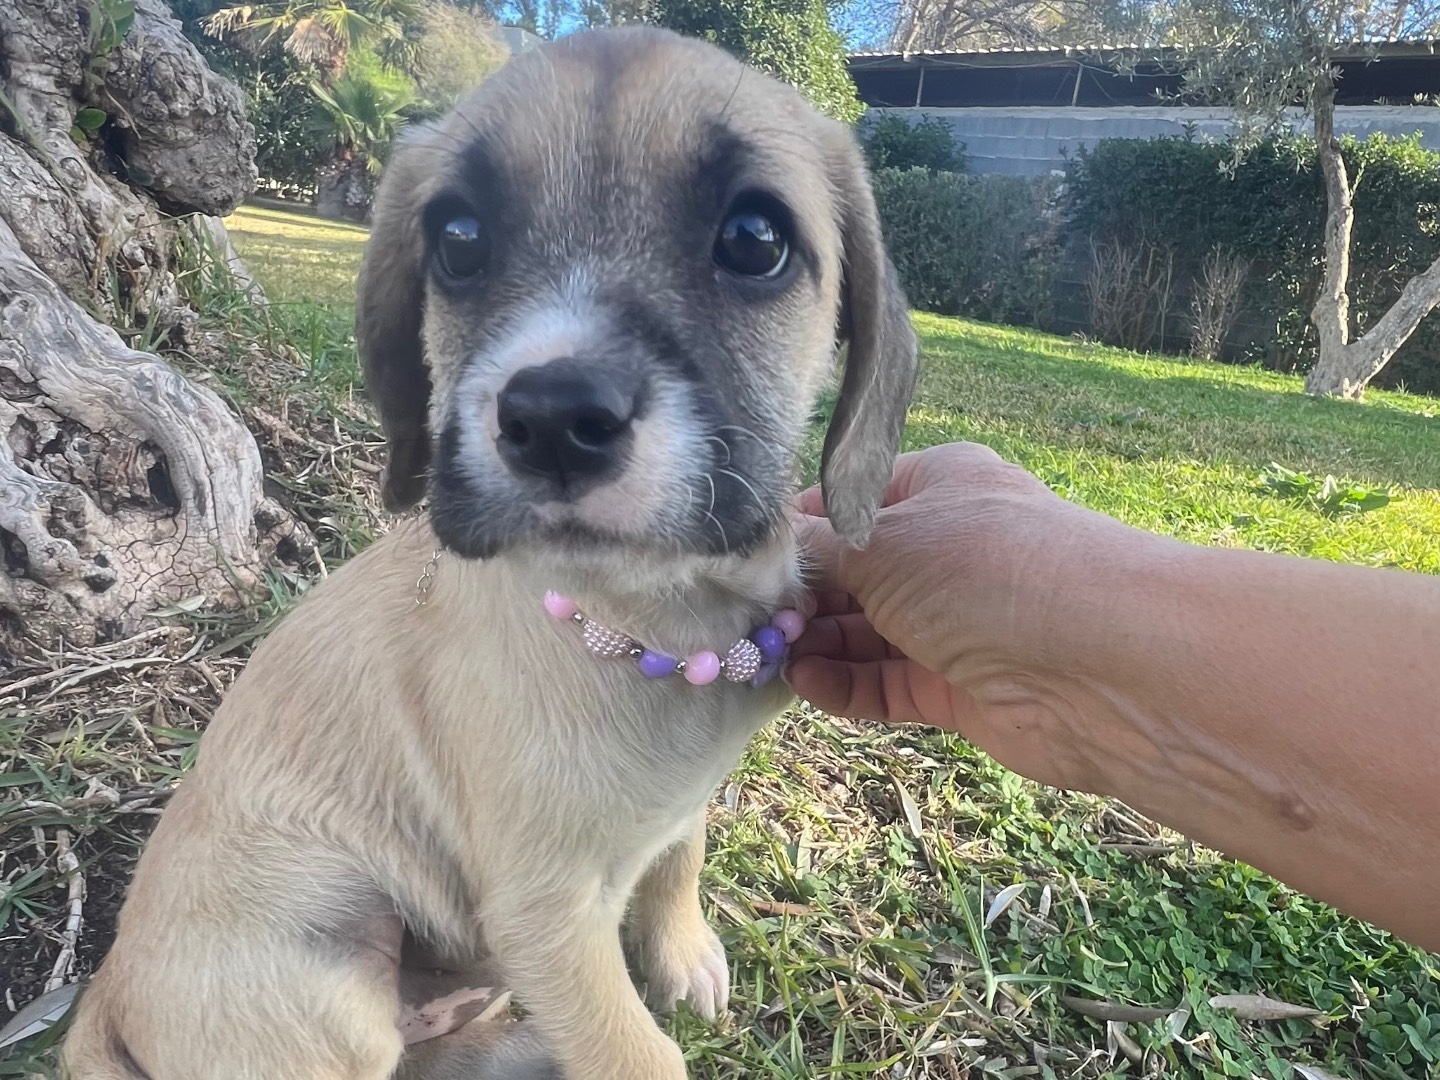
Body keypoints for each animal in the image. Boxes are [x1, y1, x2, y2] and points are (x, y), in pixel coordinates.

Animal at [61, 25, 915, 1080]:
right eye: (458, 240)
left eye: (755, 240)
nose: (551, 419)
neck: (657, 616)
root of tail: (105, 991)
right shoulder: (547, 913)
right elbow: (636, 1053)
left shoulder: (667, 820)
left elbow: (680, 852)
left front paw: (680, 950)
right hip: (327, 952)